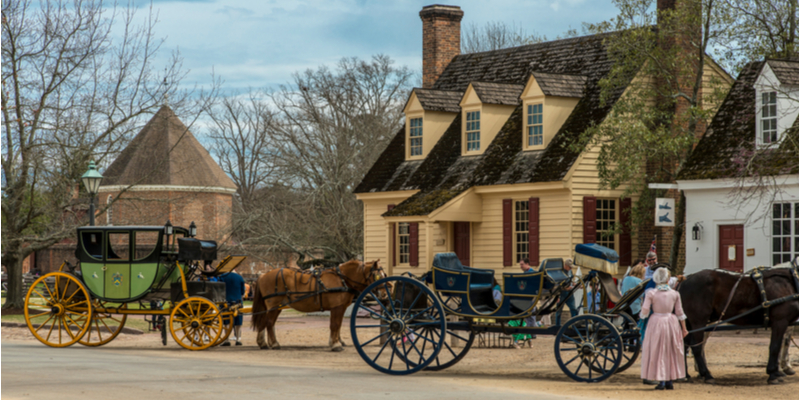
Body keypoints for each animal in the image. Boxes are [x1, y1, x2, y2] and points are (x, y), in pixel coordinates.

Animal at [252, 260, 386, 350]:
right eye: (378, 275)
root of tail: (263, 275)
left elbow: (337, 325)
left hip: (275, 307)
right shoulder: (337, 307)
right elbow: (335, 325)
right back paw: (274, 344)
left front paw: (334, 342)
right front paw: (336, 345)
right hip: (273, 306)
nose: (384, 294)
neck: (342, 279)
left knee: (264, 323)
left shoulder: (340, 307)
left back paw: (263, 343)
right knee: (269, 323)